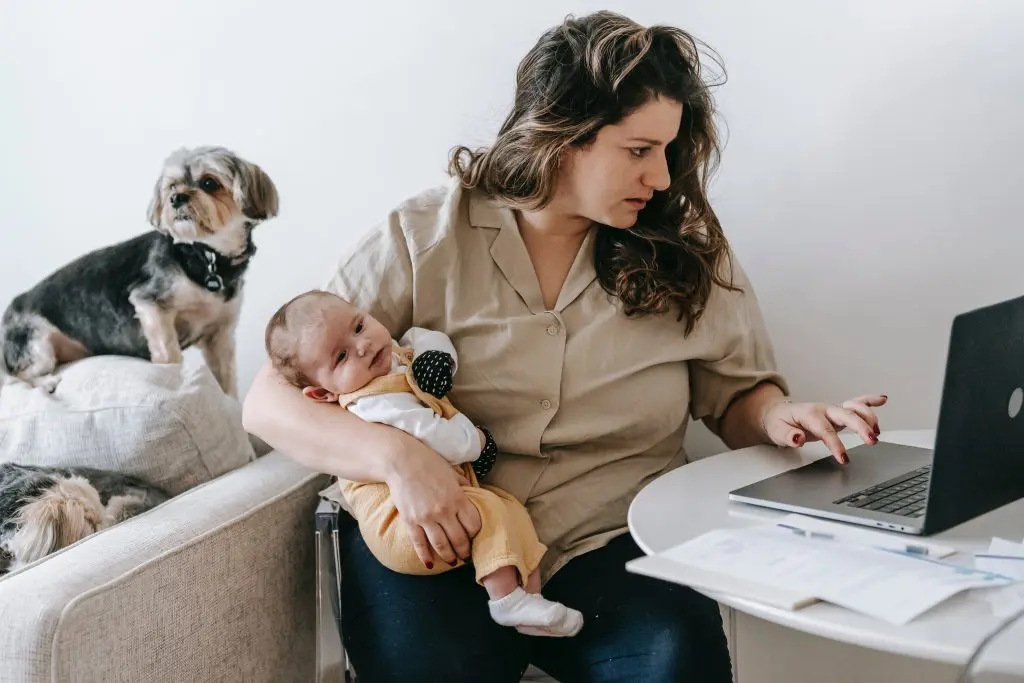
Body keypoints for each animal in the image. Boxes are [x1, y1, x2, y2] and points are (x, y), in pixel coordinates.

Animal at [0, 147, 280, 397]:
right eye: (172, 186)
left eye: (209, 182)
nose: (176, 198)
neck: (206, 255)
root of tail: (12, 308)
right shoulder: (151, 305)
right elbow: (169, 353)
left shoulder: (219, 335)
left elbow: (226, 381)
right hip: (36, 345)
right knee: (14, 377)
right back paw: (46, 382)